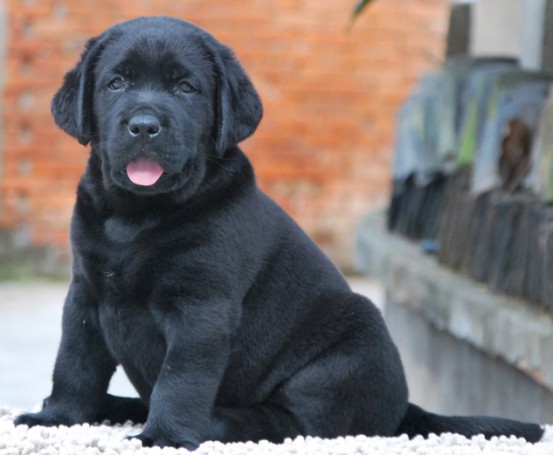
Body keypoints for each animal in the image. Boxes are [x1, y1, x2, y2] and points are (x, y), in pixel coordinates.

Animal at [15, 16, 540, 448]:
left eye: (185, 88)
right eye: (116, 83)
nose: (145, 125)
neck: (137, 216)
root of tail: (400, 410)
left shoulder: (202, 307)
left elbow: (181, 377)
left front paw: (164, 435)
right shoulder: (86, 293)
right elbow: (74, 361)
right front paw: (58, 415)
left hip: (345, 353)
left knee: (289, 421)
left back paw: (209, 421)